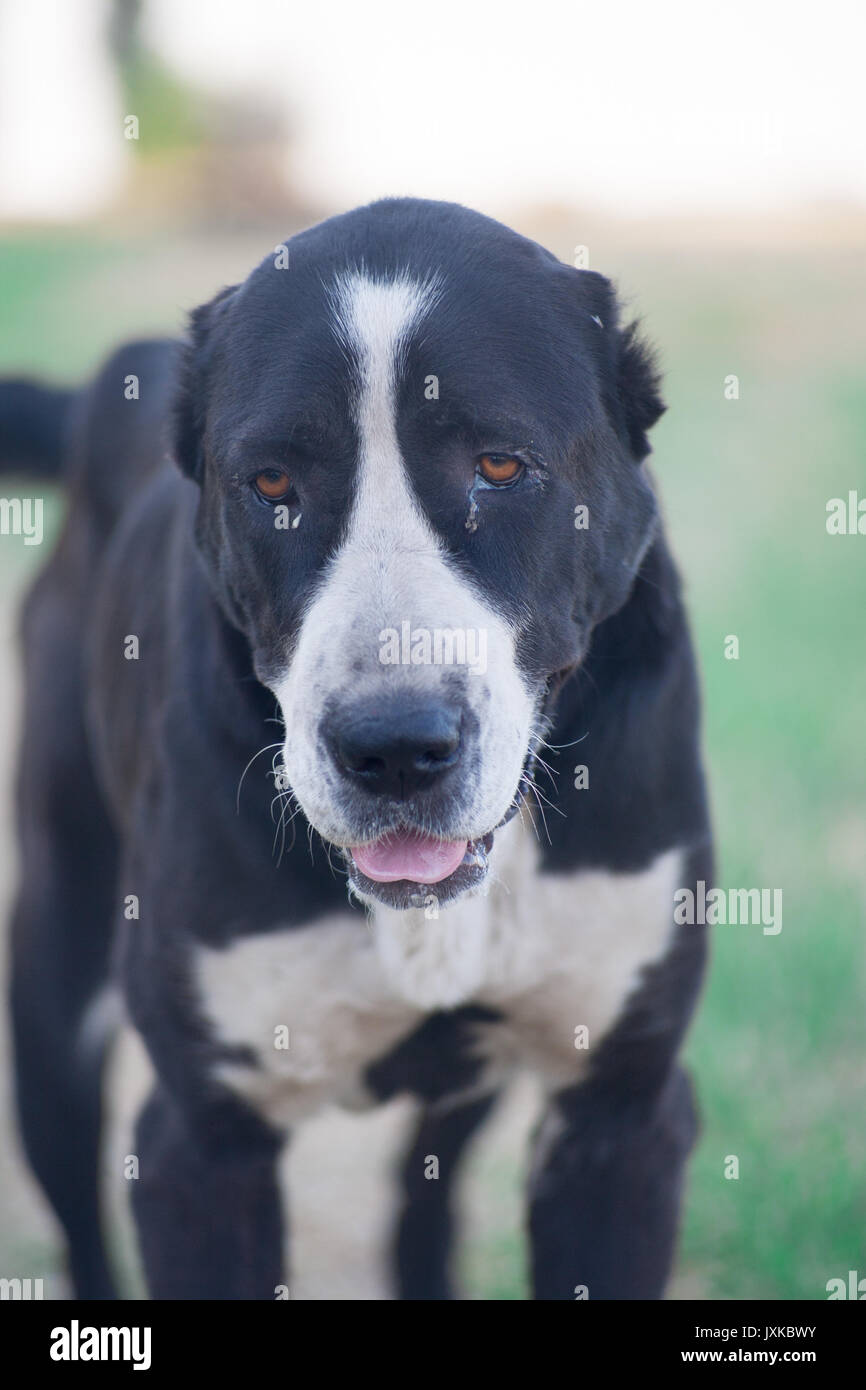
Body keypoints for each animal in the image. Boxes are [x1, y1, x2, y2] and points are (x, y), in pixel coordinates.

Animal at [1, 198, 711, 1301]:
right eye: (271, 482)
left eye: (500, 465)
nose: (393, 749)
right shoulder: (202, 1147)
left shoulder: (621, 1119)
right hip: (54, 961)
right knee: (75, 1200)